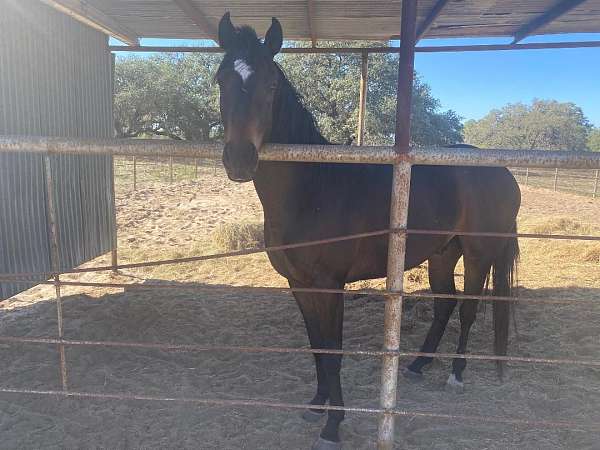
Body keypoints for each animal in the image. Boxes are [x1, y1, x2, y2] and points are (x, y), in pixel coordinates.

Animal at [216, 12, 520, 448]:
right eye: (221, 80)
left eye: (271, 84)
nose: (239, 160)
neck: (313, 189)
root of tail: (504, 173)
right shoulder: (299, 284)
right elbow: (317, 347)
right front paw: (317, 405)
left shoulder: (330, 286)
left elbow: (334, 350)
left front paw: (332, 426)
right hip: (443, 252)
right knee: (444, 305)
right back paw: (417, 365)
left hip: (479, 254)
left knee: (467, 309)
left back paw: (456, 375)